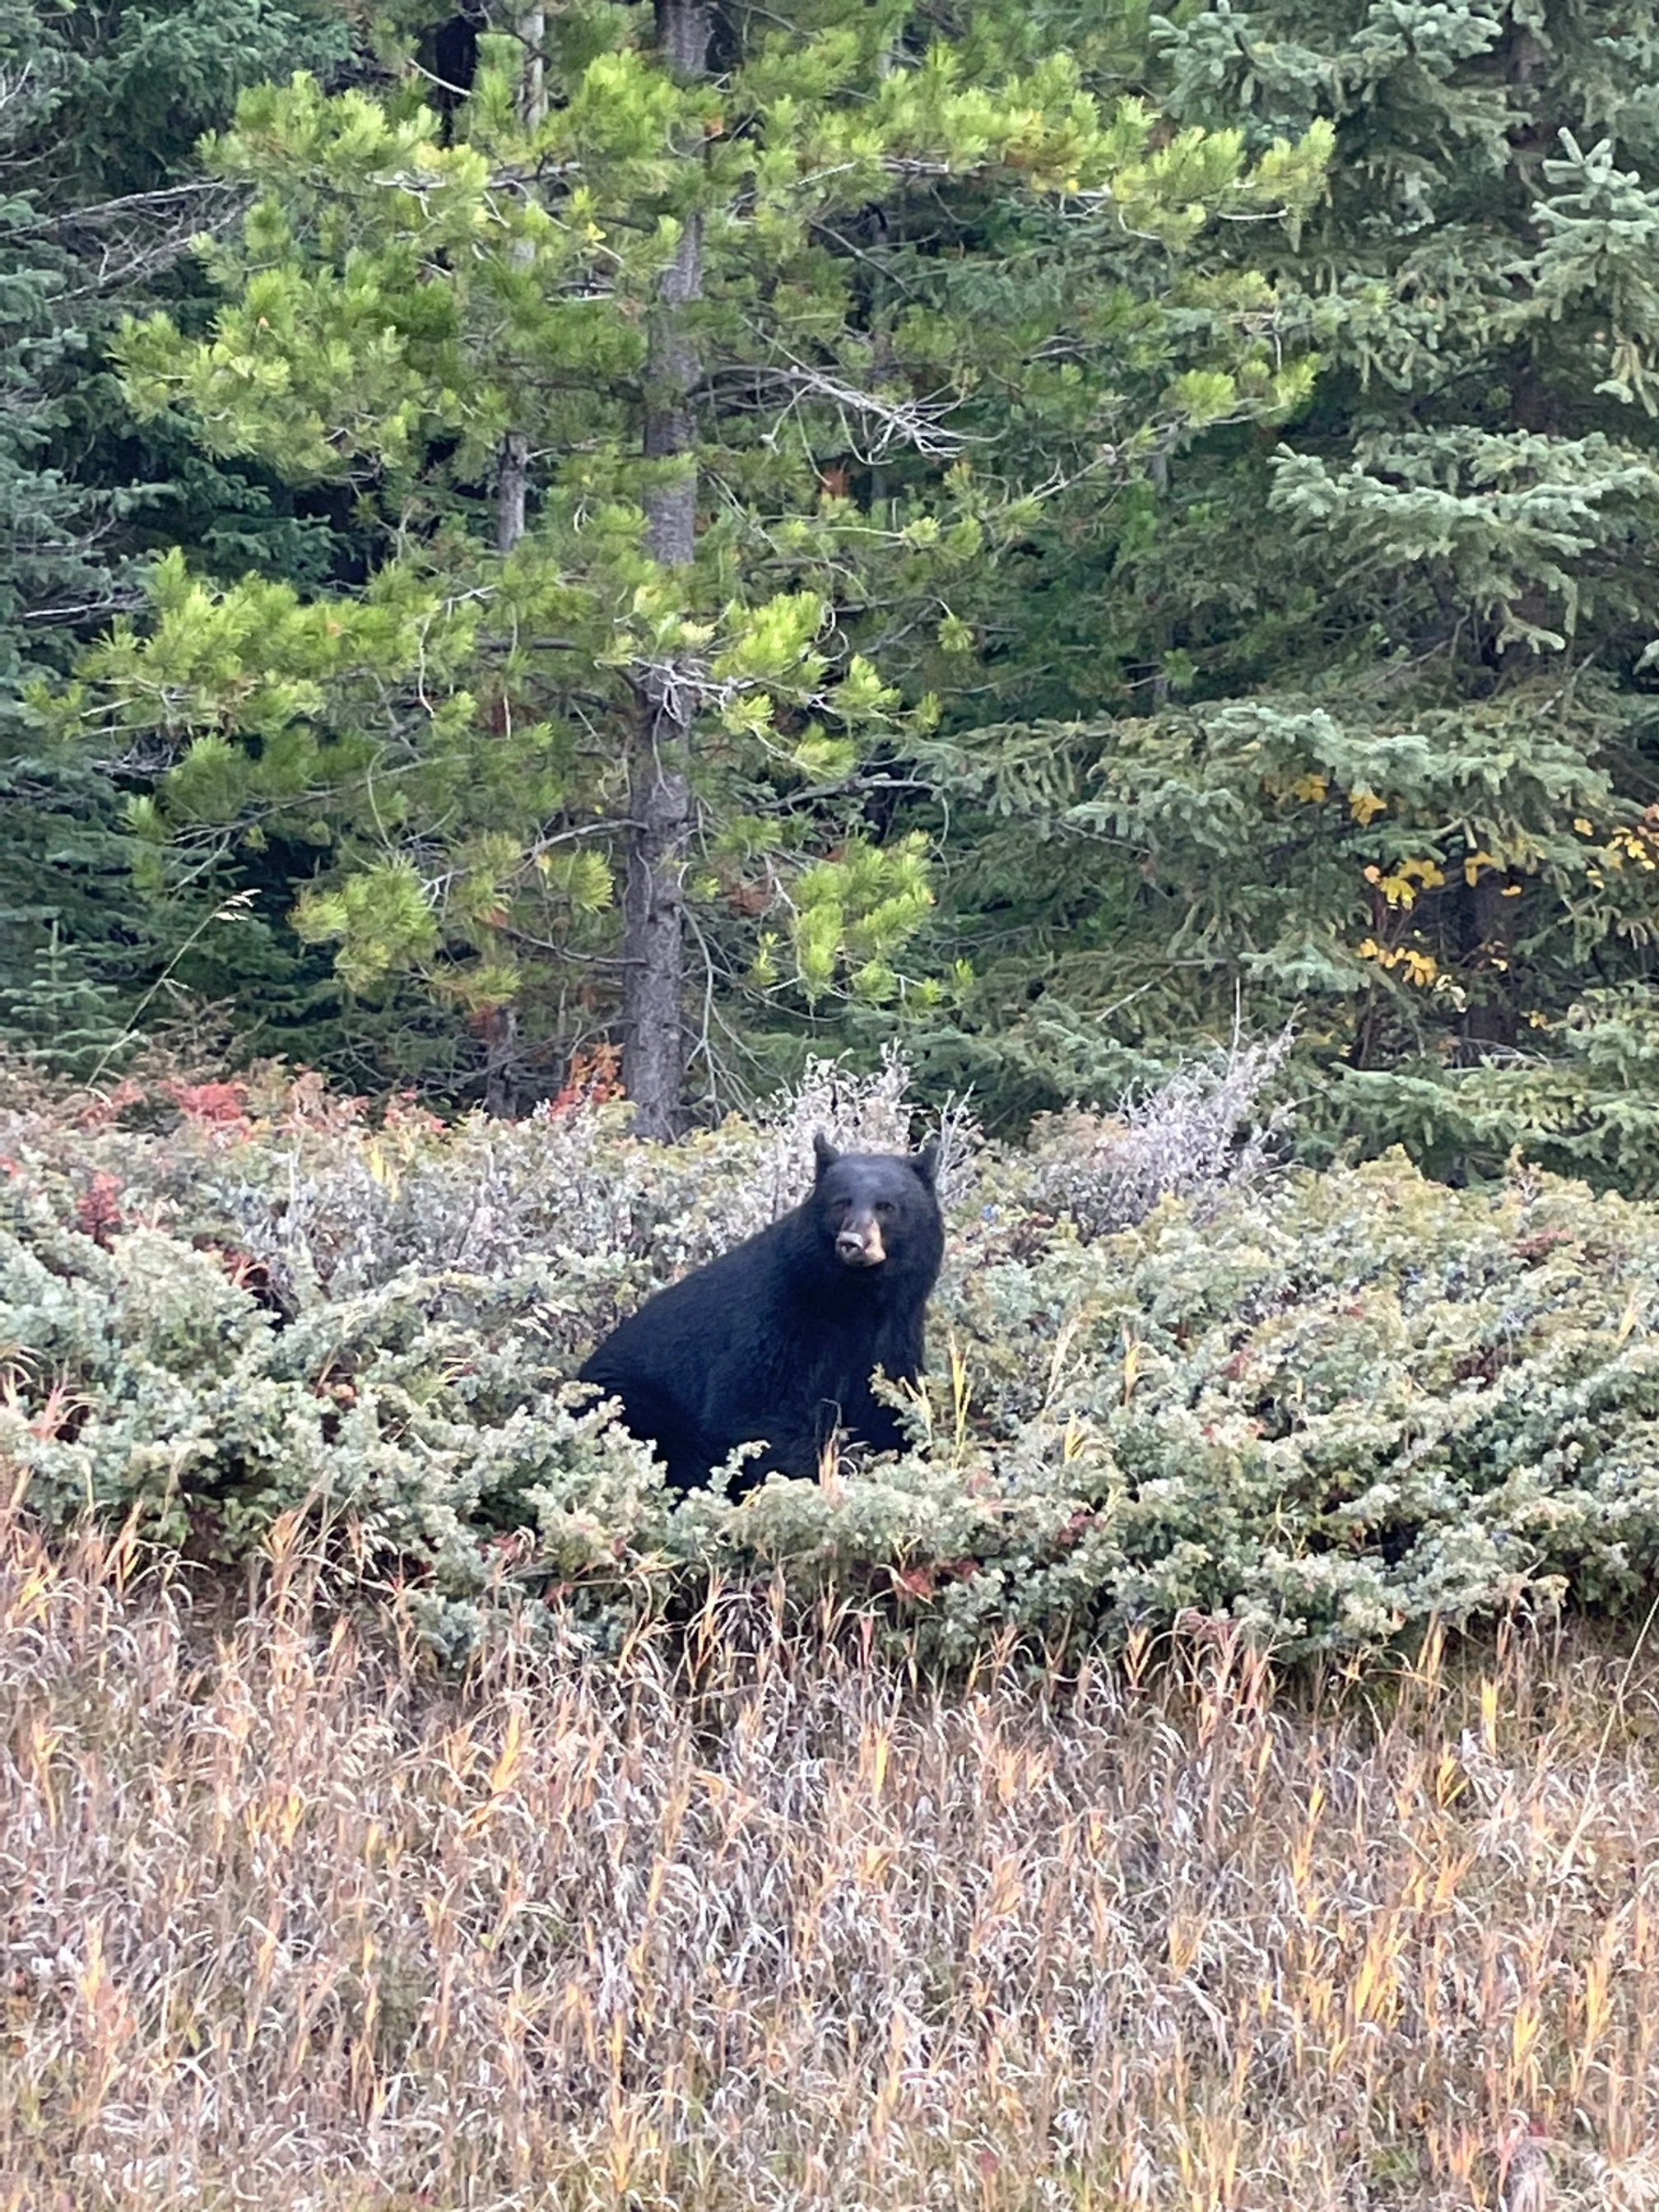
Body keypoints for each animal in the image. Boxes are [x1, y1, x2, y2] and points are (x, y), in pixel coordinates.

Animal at [578, 1133, 944, 1493]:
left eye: (887, 1207)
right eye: (841, 1202)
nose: (853, 1243)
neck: (853, 1300)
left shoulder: (894, 1331)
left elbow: (891, 1407)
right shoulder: (779, 1319)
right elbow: (751, 1409)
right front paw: (822, 1476)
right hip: (631, 1400)